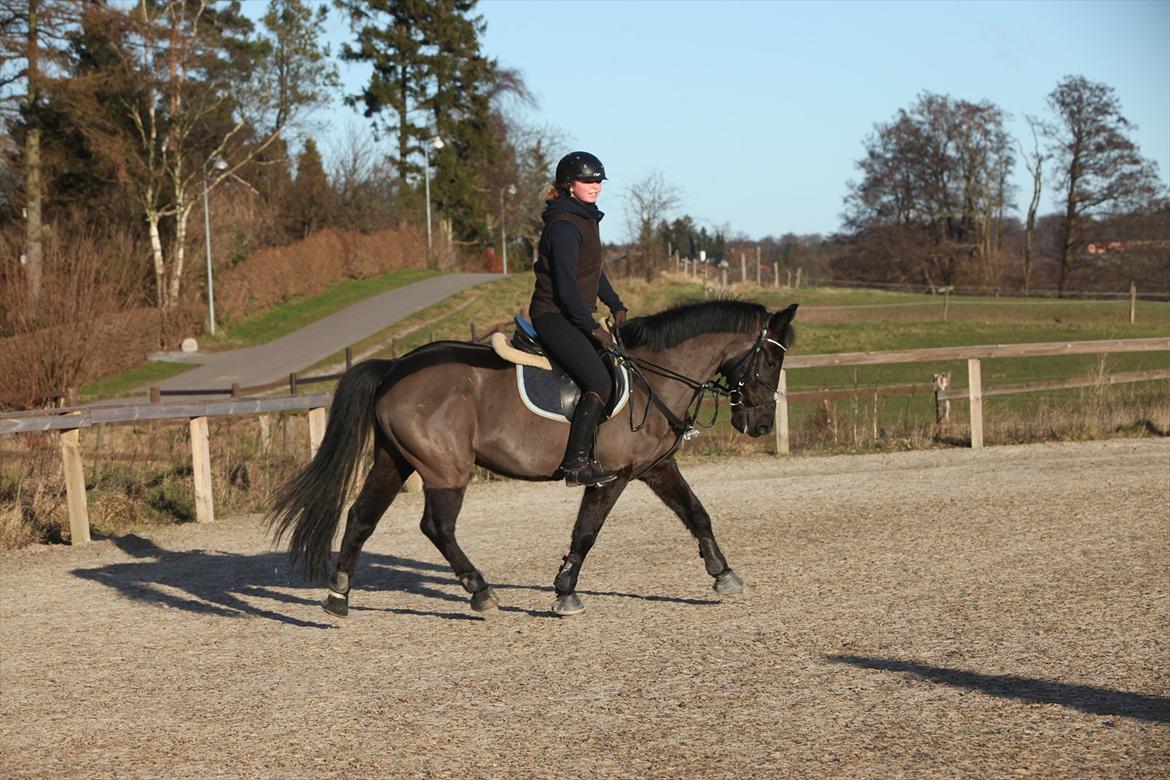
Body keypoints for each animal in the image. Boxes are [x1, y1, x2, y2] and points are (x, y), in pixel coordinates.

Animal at [267, 297, 795, 617]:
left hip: (393, 462)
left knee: (361, 516)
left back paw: (338, 595)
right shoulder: (611, 477)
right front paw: (565, 592)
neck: (655, 375)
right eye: (770, 359)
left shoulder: (656, 468)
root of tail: (395, 367)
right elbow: (586, 532)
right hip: (445, 468)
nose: (760, 424)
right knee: (437, 527)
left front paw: (723, 574)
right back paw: (480, 591)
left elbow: (697, 514)